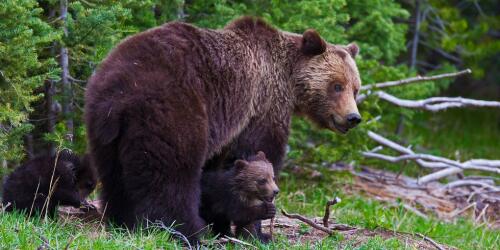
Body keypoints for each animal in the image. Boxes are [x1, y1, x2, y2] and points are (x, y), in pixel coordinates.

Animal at [84, 16, 362, 240]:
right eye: (336, 85)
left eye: (355, 88)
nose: (353, 117)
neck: (287, 80)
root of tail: (118, 94)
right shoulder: (260, 106)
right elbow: (258, 153)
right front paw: (256, 232)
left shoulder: (230, 123)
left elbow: (218, 174)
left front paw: (222, 225)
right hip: (172, 111)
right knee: (172, 174)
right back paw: (186, 231)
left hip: (105, 130)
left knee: (115, 177)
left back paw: (122, 222)